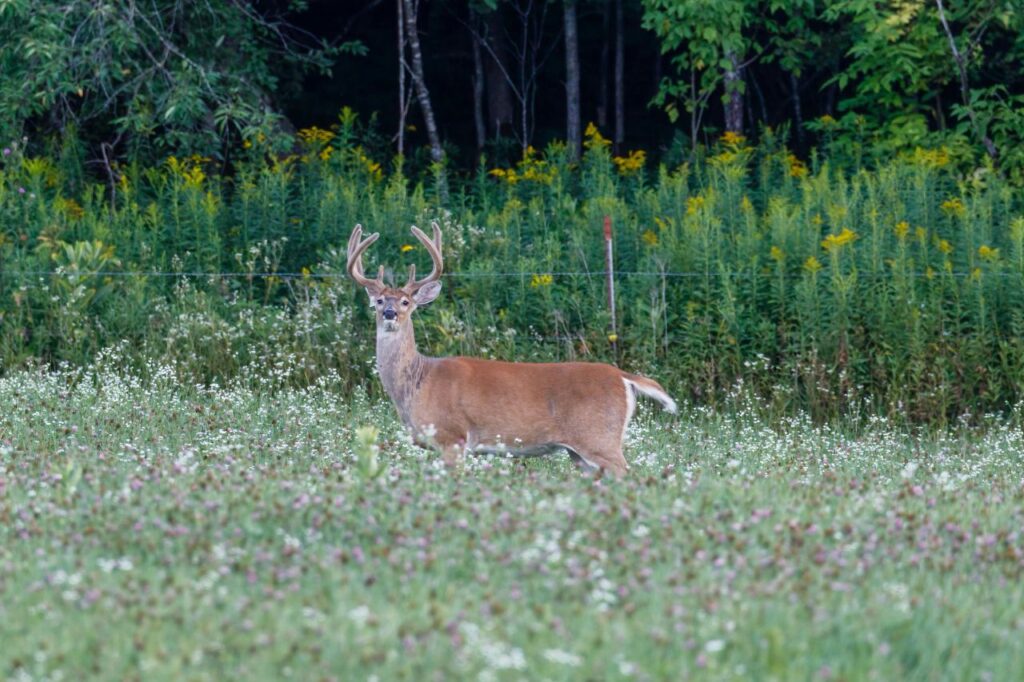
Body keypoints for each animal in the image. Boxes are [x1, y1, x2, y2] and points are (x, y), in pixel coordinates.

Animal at [346, 222, 677, 476]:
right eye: (378, 301)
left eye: (406, 302)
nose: (390, 313)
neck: (418, 380)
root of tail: (623, 377)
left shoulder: (452, 436)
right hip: (581, 452)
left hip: (599, 437)